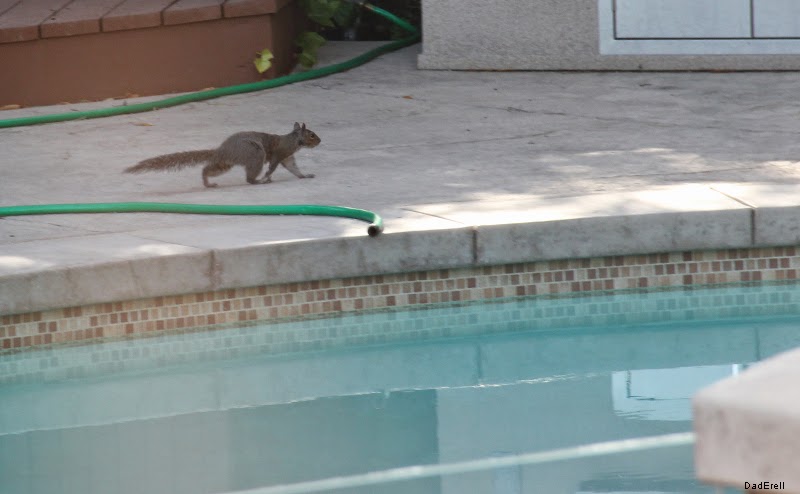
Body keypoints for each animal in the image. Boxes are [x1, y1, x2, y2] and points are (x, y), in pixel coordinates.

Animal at [123, 122, 320, 187]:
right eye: (311, 135)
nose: (320, 140)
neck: (293, 140)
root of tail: (222, 149)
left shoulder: (288, 158)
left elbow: (294, 168)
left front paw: (305, 175)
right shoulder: (280, 154)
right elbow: (272, 168)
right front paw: (267, 177)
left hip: (225, 163)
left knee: (207, 169)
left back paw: (207, 183)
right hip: (255, 153)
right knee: (249, 178)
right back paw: (257, 181)